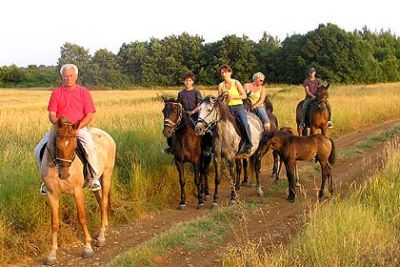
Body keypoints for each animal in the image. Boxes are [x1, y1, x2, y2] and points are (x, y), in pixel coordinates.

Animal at [38, 116, 116, 266]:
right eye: (57, 145)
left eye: (75, 147)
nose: (64, 175)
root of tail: (106, 135)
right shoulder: (52, 194)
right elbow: (54, 223)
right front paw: (52, 255)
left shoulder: (77, 192)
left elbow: (82, 218)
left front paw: (88, 249)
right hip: (96, 181)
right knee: (100, 201)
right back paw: (101, 229)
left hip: (107, 175)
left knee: (103, 202)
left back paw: (101, 237)